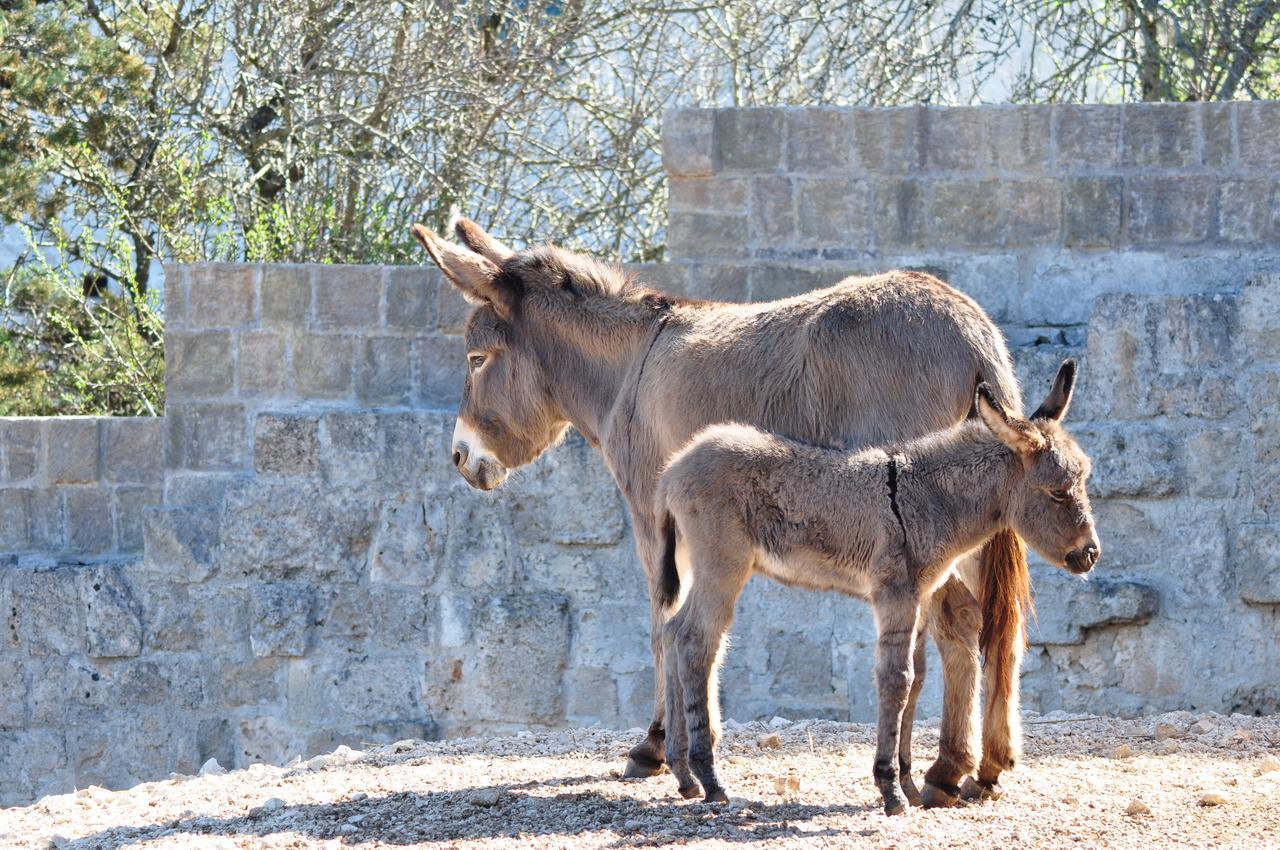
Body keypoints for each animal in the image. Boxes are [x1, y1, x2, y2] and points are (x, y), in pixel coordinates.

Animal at [660, 360, 1100, 814]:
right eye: (1058, 492)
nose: (1090, 555)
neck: (929, 498)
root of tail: (674, 467)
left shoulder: (921, 596)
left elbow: (918, 679)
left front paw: (908, 783)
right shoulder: (896, 595)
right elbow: (897, 679)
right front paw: (890, 789)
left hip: (700, 565)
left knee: (672, 631)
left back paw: (683, 774)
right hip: (722, 565)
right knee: (696, 641)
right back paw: (710, 778)